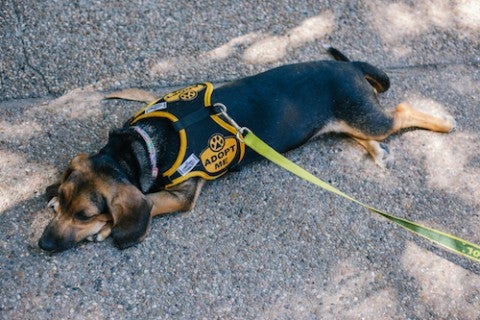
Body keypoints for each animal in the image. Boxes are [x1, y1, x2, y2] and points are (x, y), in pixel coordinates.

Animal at [37, 48, 454, 252]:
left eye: (86, 215)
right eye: (66, 205)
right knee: (360, 133)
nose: (42, 244)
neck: (142, 144)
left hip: (366, 116)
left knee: (400, 111)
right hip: (343, 122)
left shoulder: (182, 195)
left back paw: (445, 122)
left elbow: (149, 203)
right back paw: (376, 152)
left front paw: (108, 229)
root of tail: (350, 65)